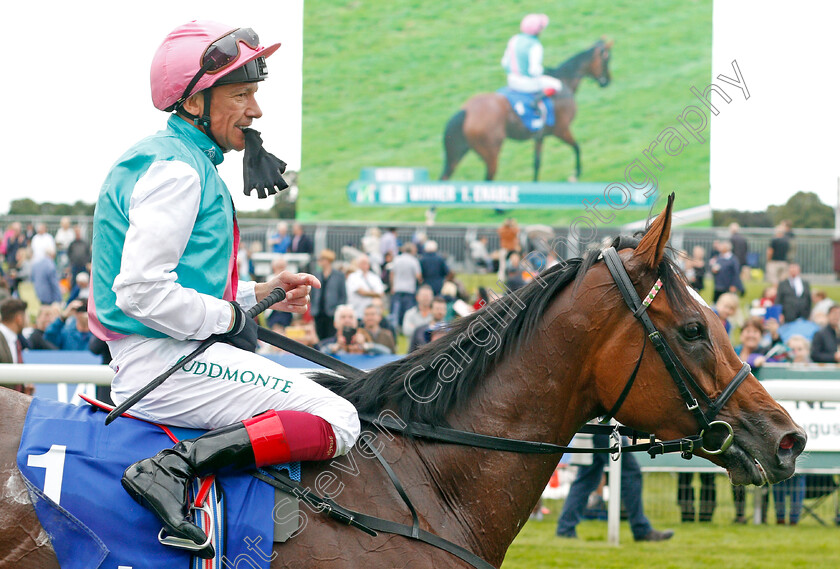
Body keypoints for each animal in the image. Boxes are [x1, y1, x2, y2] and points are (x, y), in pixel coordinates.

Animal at [440, 39, 612, 182]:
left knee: (445, 176)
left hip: (460, 152)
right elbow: (577, 147)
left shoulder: (540, 136)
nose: (608, 81)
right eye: (607, 60)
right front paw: (576, 174)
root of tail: (465, 111)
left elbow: (537, 163)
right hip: (491, 153)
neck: (564, 82)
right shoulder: (561, 129)